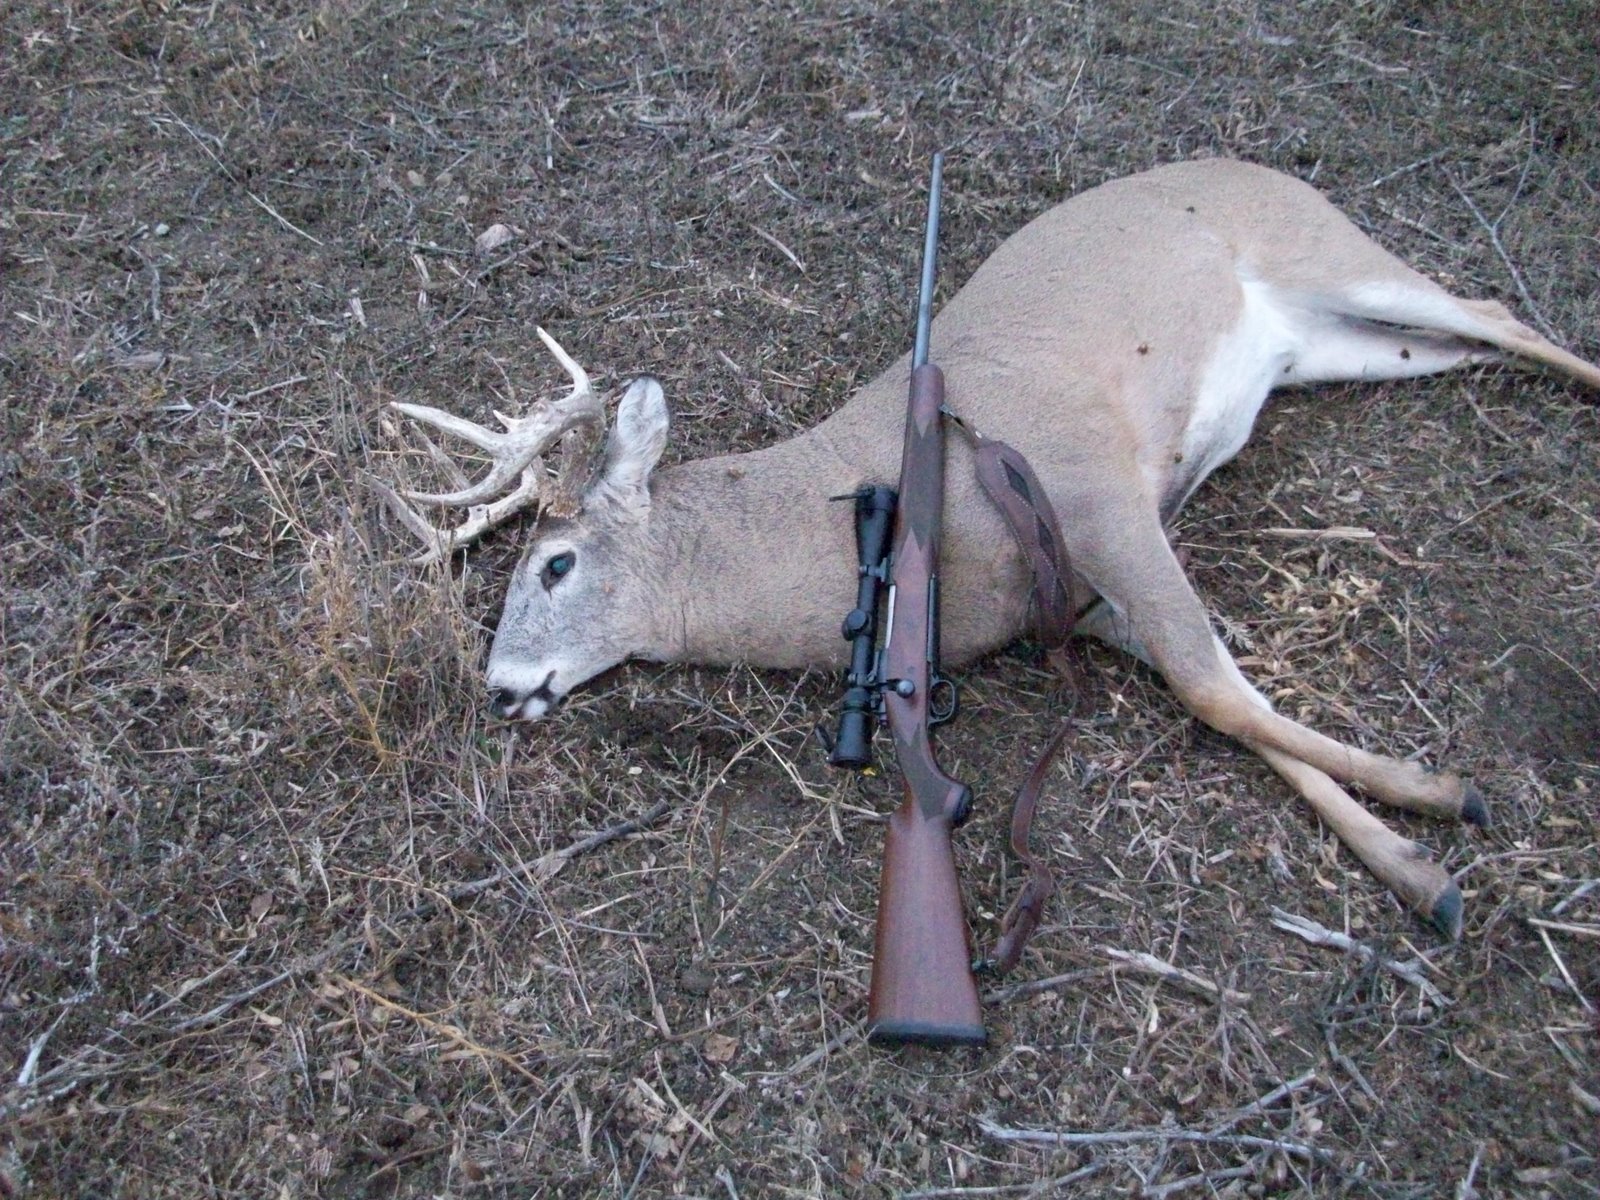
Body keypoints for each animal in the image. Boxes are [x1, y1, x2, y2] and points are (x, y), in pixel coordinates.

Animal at [381, 157, 1600, 941]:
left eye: (555, 565)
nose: (501, 686)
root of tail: (1251, 158)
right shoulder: (1086, 607)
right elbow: (1234, 708)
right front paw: (1423, 865)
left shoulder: (1099, 491)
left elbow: (1215, 690)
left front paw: (1448, 802)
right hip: (1336, 344)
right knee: (1476, 337)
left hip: (1331, 252)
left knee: (1497, 311)